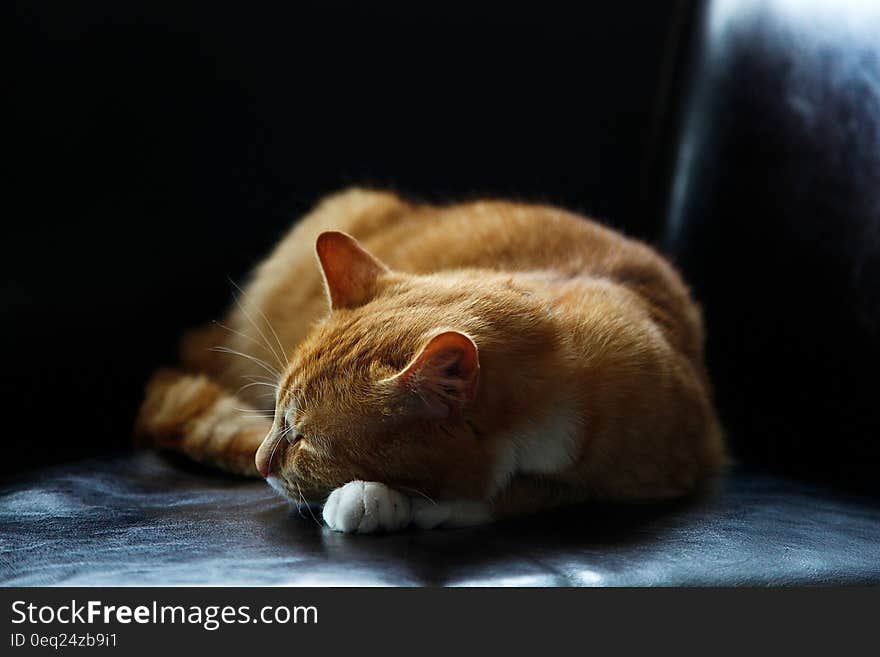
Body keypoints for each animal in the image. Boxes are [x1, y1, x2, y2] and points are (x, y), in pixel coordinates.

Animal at [134, 187, 724, 532]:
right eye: (277, 414)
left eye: (306, 440)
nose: (260, 463)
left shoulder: (672, 468)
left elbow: (523, 494)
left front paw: (388, 502)